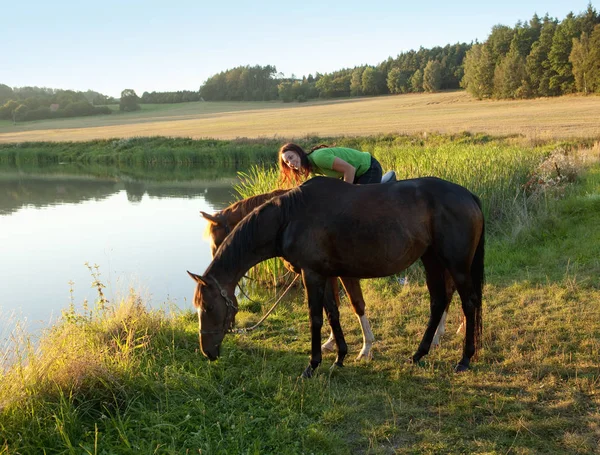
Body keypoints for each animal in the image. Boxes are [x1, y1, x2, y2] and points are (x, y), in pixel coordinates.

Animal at [189, 176, 482, 380]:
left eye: (209, 307)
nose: (207, 352)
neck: (288, 217)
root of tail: (467, 194)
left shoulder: (312, 275)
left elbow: (317, 318)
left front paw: (312, 365)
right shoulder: (325, 275)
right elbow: (333, 313)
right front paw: (340, 356)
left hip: (456, 266)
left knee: (468, 304)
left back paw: (464, 359)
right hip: (431, 260)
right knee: (438, 302)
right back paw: (419, 354)